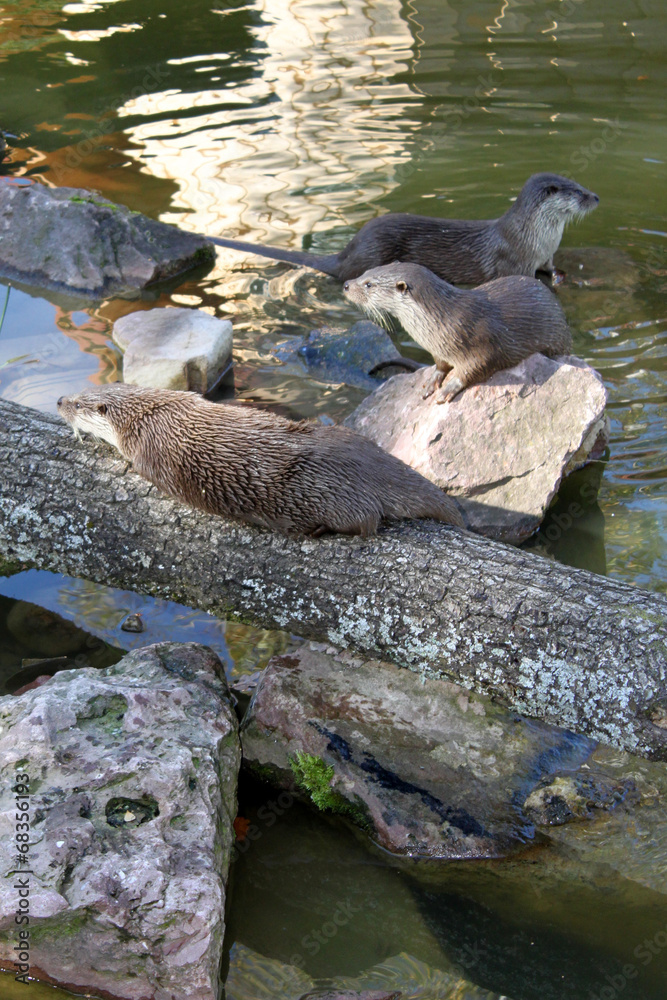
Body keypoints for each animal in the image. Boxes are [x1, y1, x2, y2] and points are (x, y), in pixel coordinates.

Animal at [57, 384, 464, 536]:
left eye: (77, 402)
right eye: (75, 391)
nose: (58, 400)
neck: (151, 414)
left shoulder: (148, 450)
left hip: (327, 492)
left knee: (365, 521)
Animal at [204, 173, 598, 284]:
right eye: (577, 192)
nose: (596, 196)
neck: (535, 239)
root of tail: (346, 253)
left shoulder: (546, 254)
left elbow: (551, 268)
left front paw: (561, 275)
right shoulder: (512, 259)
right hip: (376, 252)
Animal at [343, 262, 572, 402]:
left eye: (368, 284)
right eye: (365, 272)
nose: (346, 284)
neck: (443, 321)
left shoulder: (483, 344)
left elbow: (475, 368)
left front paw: (449, 387)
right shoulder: (438, 350)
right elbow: (441, 365)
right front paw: (433, 380)